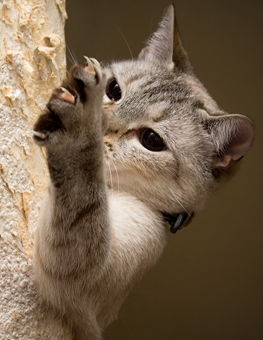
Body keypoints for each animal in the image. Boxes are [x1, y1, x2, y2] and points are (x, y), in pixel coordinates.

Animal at [32, 4, 255, 340]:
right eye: (114, 90)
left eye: (151, 140)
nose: (100, 125)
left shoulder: (78, 286)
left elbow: (81, 186)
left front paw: (79, 126)